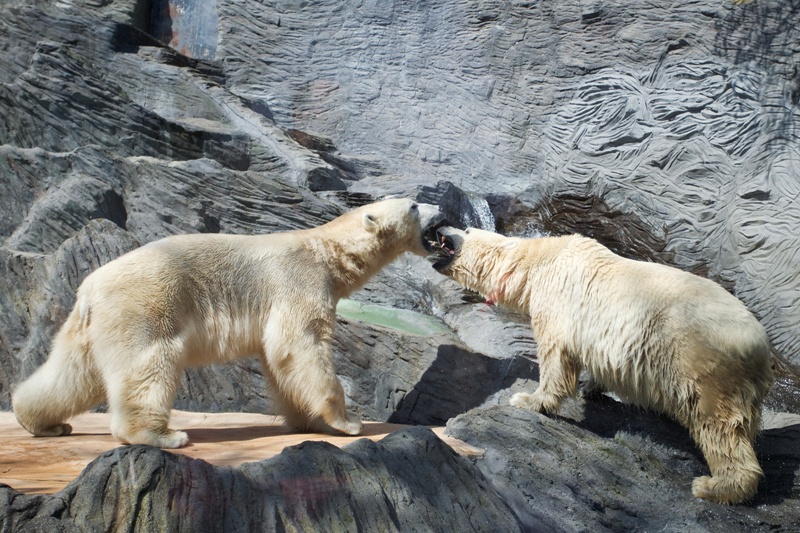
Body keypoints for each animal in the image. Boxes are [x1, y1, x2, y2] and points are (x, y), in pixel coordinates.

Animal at [10, 197, 444, 446]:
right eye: (413, 205)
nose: (441, 205)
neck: (327, 250)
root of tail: (89, 288)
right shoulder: (299, 281)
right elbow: (301, 345)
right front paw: (346, 422)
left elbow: (279, 359)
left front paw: (306, 421)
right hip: (145, 306)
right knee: (149, 363)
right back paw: (161, 435)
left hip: (90, 325)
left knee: (72, 374)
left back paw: (41, 422)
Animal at [432, 227, 776, 504]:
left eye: (465, 229)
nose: (441, 227)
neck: (536, 261)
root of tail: (760, 344)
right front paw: (590, 387)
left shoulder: (557, 299)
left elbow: (555, 356)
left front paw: (529, 399)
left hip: (701, 357)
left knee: (718, 425)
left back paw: (714, 486)